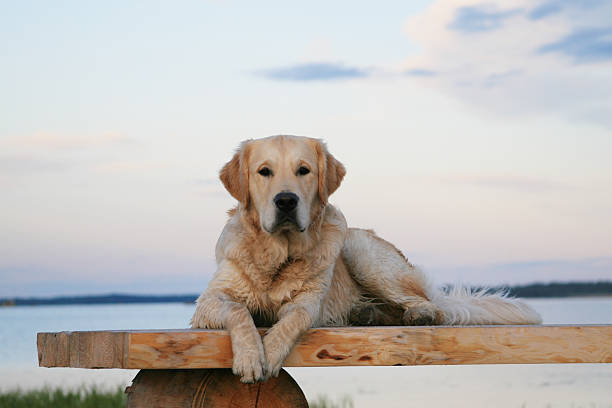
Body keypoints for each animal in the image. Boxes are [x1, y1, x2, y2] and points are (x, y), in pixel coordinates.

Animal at [191, 135, 540, 382]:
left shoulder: (309, 302)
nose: (286, 201)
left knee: (431, 305)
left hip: (361, 251)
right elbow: (239, 311)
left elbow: (293, 319)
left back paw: (417, 314)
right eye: (264, 172)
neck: (278, 254)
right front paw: (251, 357)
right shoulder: (208, 301)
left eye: (304, 170)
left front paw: (272, 351)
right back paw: (366, 313)